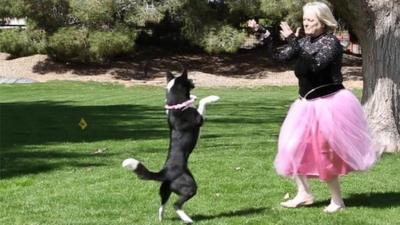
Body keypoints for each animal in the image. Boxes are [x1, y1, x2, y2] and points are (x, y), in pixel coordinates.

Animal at [123, 70, 220, 223]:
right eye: (189, 79)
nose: (195, 80)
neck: (177, 105)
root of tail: (165, 172)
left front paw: (193, 97)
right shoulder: (199, 119)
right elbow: (202, 103)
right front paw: (212, 98)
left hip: (165, 190)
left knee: (162, 205)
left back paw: (161, 218)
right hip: (189, 187)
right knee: (176, 204)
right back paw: (187, 219)